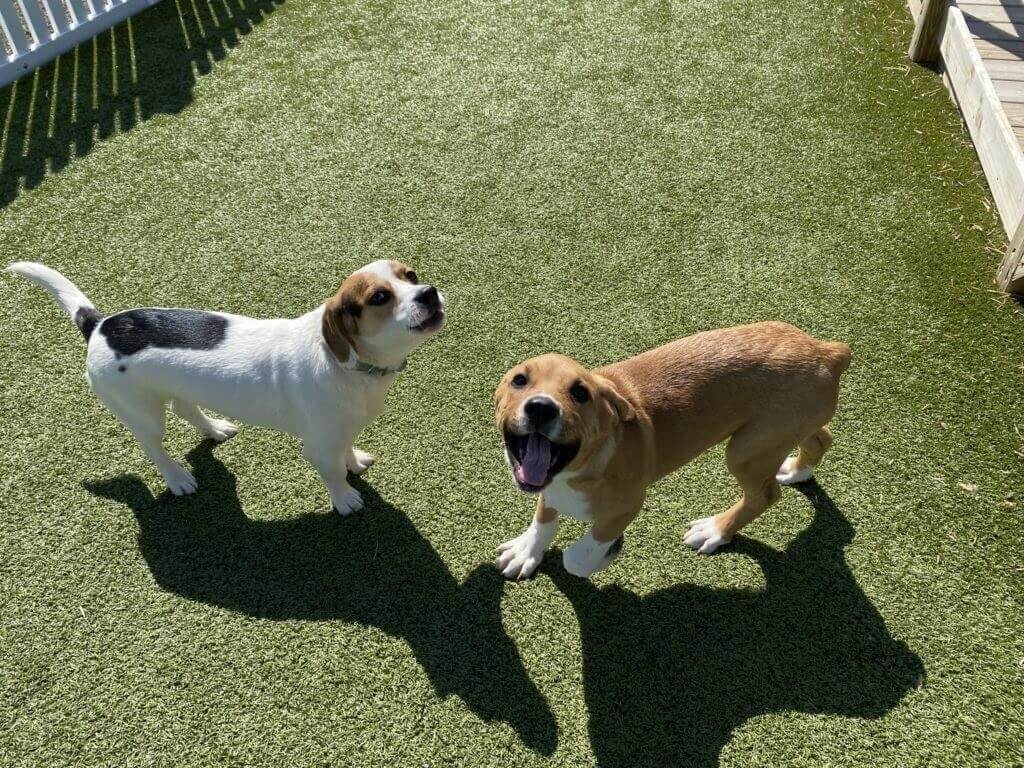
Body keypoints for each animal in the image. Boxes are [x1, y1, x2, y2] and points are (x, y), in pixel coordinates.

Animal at [491, 321, 851, 581]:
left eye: (581, 393)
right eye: (519, 380)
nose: (540, 407)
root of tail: (826, 351)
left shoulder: (627, 506)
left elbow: (579, 557)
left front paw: (602, 557)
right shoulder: (547, 488)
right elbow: (544, 520)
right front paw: (527, 551)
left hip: (746, 450)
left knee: (764, 496)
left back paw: (715, 531)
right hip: (786, 429)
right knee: (821, 438)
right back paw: (797, 470)